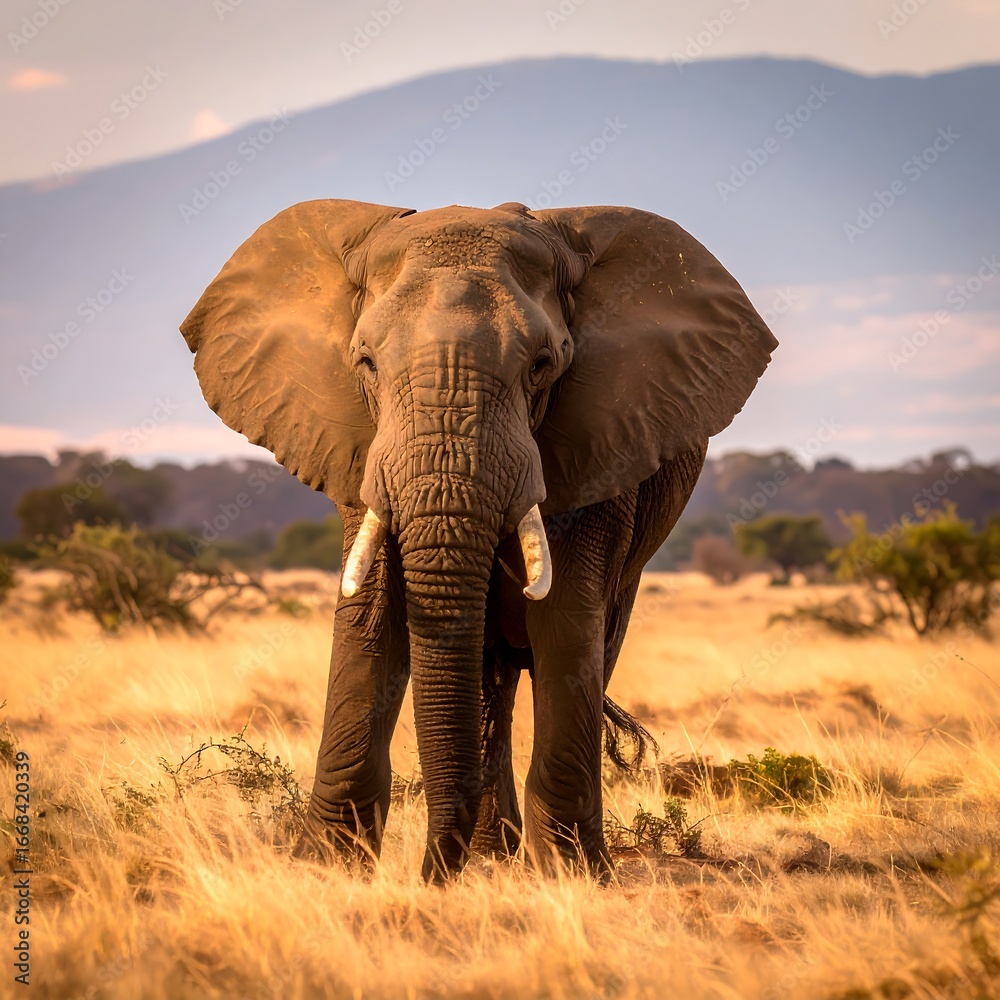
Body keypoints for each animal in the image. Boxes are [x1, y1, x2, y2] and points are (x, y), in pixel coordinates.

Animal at [180, 199, 777, 881]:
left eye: (542, 365)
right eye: (366, 364)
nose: (430, 877)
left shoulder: (599, 443)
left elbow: (565, 619)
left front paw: (572, 875)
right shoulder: (358, 446)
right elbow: (370, 615)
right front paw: (324, 867)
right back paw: (492, 856)